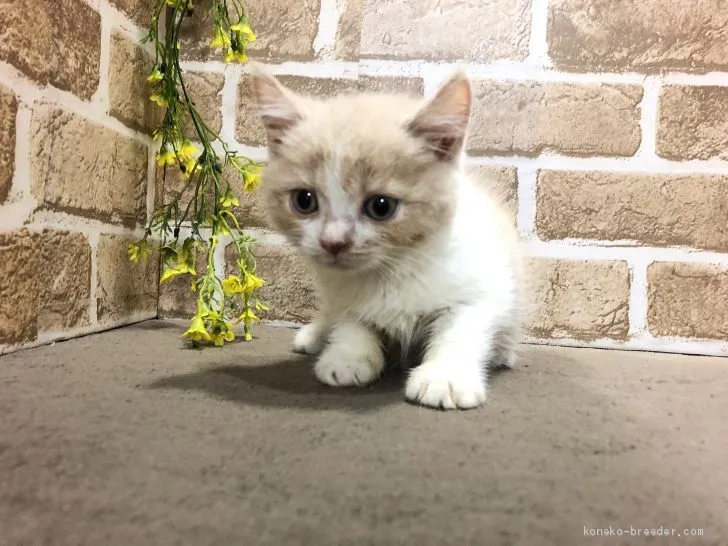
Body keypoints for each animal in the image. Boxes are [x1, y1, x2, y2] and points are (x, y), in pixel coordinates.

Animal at [250, 66, 524, 408]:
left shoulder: (484, 285)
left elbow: (460, 328)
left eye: (381, 206)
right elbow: (350, 320)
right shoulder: (339, 293)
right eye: (304, 200)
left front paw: (444, 376)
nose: (333, 242)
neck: (393, 270)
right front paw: (348, 357)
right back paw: (316, 334)